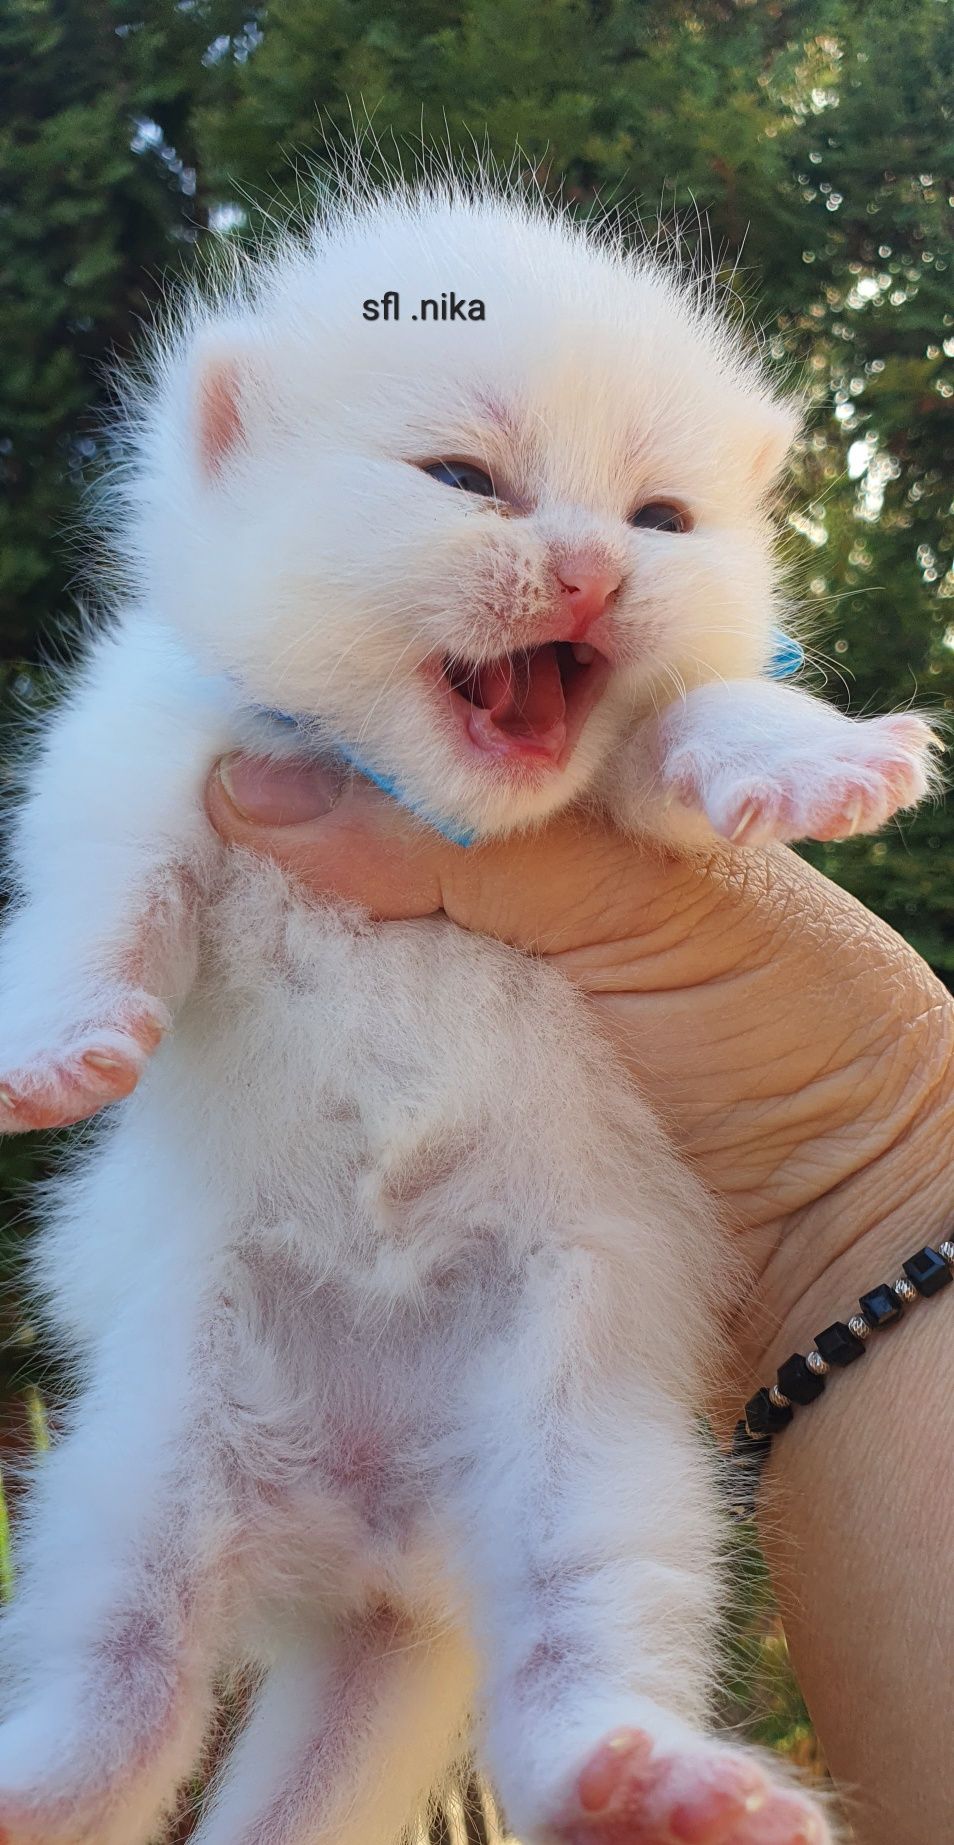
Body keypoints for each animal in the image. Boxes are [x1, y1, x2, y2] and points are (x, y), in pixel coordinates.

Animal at [0, 176, 937, 1845]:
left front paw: (808, 757)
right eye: (463, 481)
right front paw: (61, 1042)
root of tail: (377, 1549)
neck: (416, 796)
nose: (589, 574)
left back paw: (660, 1782)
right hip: (140, 1465)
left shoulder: (640, 806)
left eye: (659, 521)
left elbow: (695, 714)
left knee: (573, 1650)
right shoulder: (143, 741)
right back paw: (34, 1774)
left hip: (595, 1459)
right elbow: (104, 883)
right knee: (117, 1688)